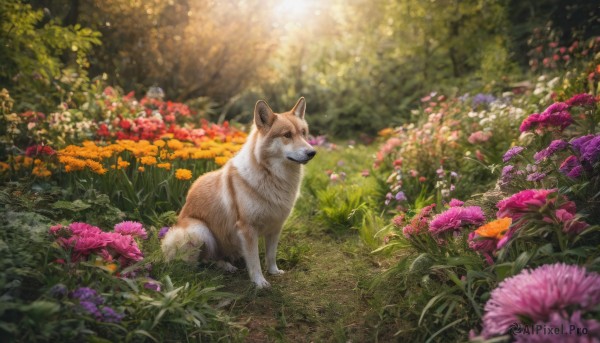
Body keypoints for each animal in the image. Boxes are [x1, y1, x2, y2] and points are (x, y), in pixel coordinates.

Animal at [162, 98, 316, 288]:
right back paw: (218, 268)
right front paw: (259, 282)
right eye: (287, 135)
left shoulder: (275, 227)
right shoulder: (247, 229)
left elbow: (271, 255)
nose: (312, 152)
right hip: (200, 230)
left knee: (212, 257)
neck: (271, 175)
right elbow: (255, 260)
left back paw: (227, 265)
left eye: (303, 133)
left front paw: (273, 271)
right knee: (201, 261)